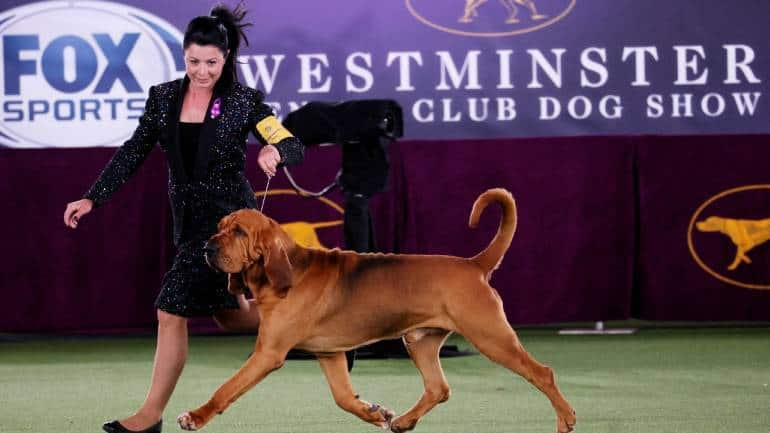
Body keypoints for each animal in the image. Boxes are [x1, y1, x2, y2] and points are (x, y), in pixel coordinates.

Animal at [178, 188, 576, 432]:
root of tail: (474, 264)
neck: (288, 269)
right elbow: (343, 397)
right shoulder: (330, 354)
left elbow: (226, 389)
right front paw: (374, 412)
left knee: (543, 373)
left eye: (240, 232)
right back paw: (403, 421)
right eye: (220, 227)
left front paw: (195, 416)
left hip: (491, 338)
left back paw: (566, 419)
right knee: (439, 388)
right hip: (419, 341)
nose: (207, 248)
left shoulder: (268, 354)